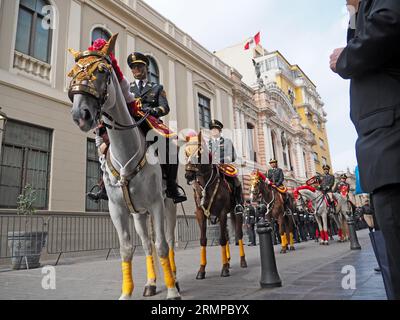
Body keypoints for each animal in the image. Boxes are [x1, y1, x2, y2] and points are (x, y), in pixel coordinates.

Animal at [68, 34, 180, 300]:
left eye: (102, 70)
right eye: (73, 72)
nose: (80, 114)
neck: (126, 150)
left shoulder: (156, 204)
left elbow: (162, 245)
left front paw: (172, 291)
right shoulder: (117, 209)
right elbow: (127, 249)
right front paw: (127, 293)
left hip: (168, 205)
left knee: (169, 240)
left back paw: (174, 279)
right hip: (139, 213)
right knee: (147, 244)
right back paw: (151, 283)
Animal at [184, 131, 247, 278]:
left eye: (199, 152)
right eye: (186, 152)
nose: (188, 175)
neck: (207, 183)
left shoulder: (222, 212)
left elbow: (222, 239)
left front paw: (224, 269)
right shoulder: (200, 214)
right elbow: (203, 239)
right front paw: (201, 270)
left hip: (237, 212)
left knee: (239, 234)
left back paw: (242, 261)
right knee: (228, 234)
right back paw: (228, 262)